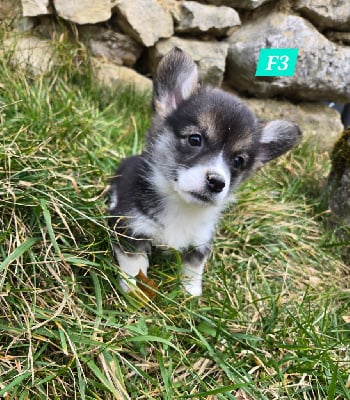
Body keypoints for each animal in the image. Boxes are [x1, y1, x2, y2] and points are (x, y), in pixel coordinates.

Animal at [107, 47, 300, 296]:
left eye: (238, 161)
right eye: (195, 139)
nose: (217, 182)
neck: (182, 207)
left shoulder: (200, 243)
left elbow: (193, 269)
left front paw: (190, 294)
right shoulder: (130, 228)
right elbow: (135, 265)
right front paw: (134, 291)